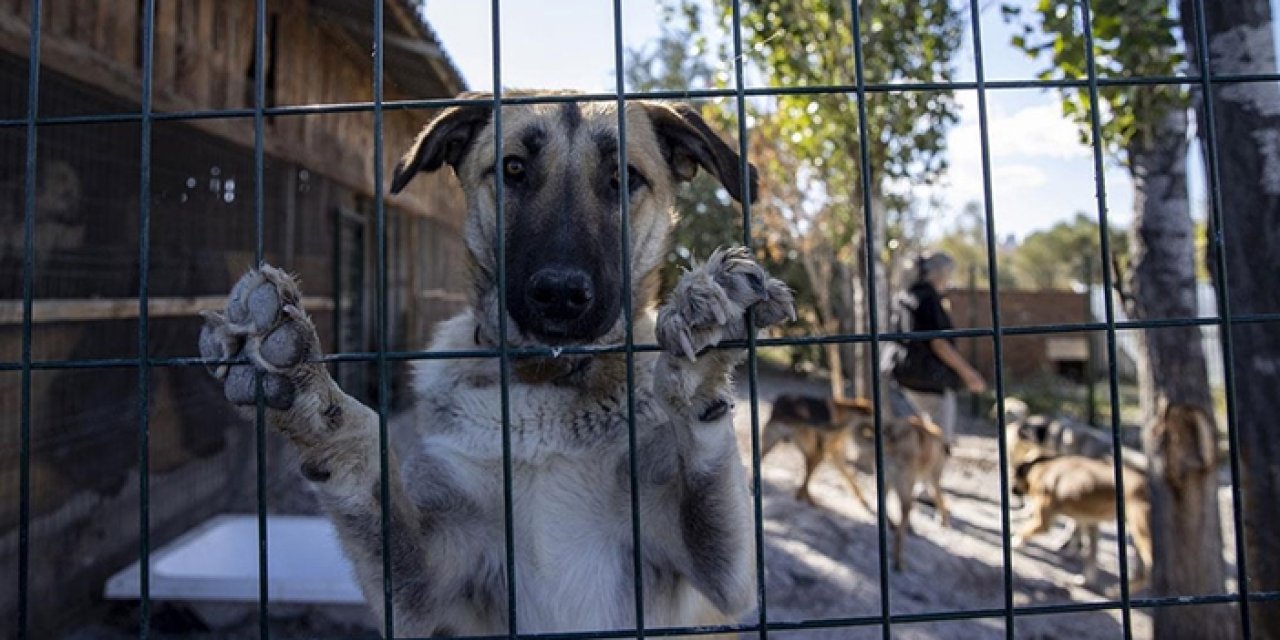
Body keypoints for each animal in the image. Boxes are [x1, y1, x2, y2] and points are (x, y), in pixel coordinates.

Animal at [194, 92, 793, 637]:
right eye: (513, 169)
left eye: (624, 176)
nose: (560, 294)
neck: (544, 383)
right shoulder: (422, 590)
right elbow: (364, 460)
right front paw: (309, 395)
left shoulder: (723, 579)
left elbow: (709, 467)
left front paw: (702, 351)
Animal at [1013, 455, 1157, 588]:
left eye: (1014, 476)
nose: (1013, 490)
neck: (1041, 468)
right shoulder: (1090, 523)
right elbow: (1090, 553)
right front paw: (1085, 578)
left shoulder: (1043, 522)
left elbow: (1023, 531)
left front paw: (1015, 542)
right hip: (1135, 535)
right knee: (1142, 574)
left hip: (1142, 532)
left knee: (1149, 569)